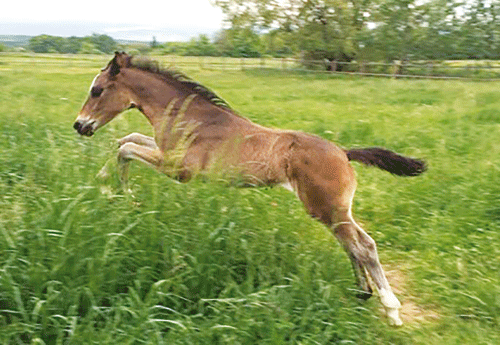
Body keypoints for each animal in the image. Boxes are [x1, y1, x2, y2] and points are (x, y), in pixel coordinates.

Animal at [74, 51, 426, 326]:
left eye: (97, 90)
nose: (80, 125)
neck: (191, 118)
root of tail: (344, 152)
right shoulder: (164, 152)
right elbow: (127, 140)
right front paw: (116, 191)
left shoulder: (179, 169)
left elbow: (125, 148)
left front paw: (117, 192)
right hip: (335, 210)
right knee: (356, 243)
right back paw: (362, 292)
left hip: (326, 209)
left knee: (363, 246)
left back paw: (391, 310)